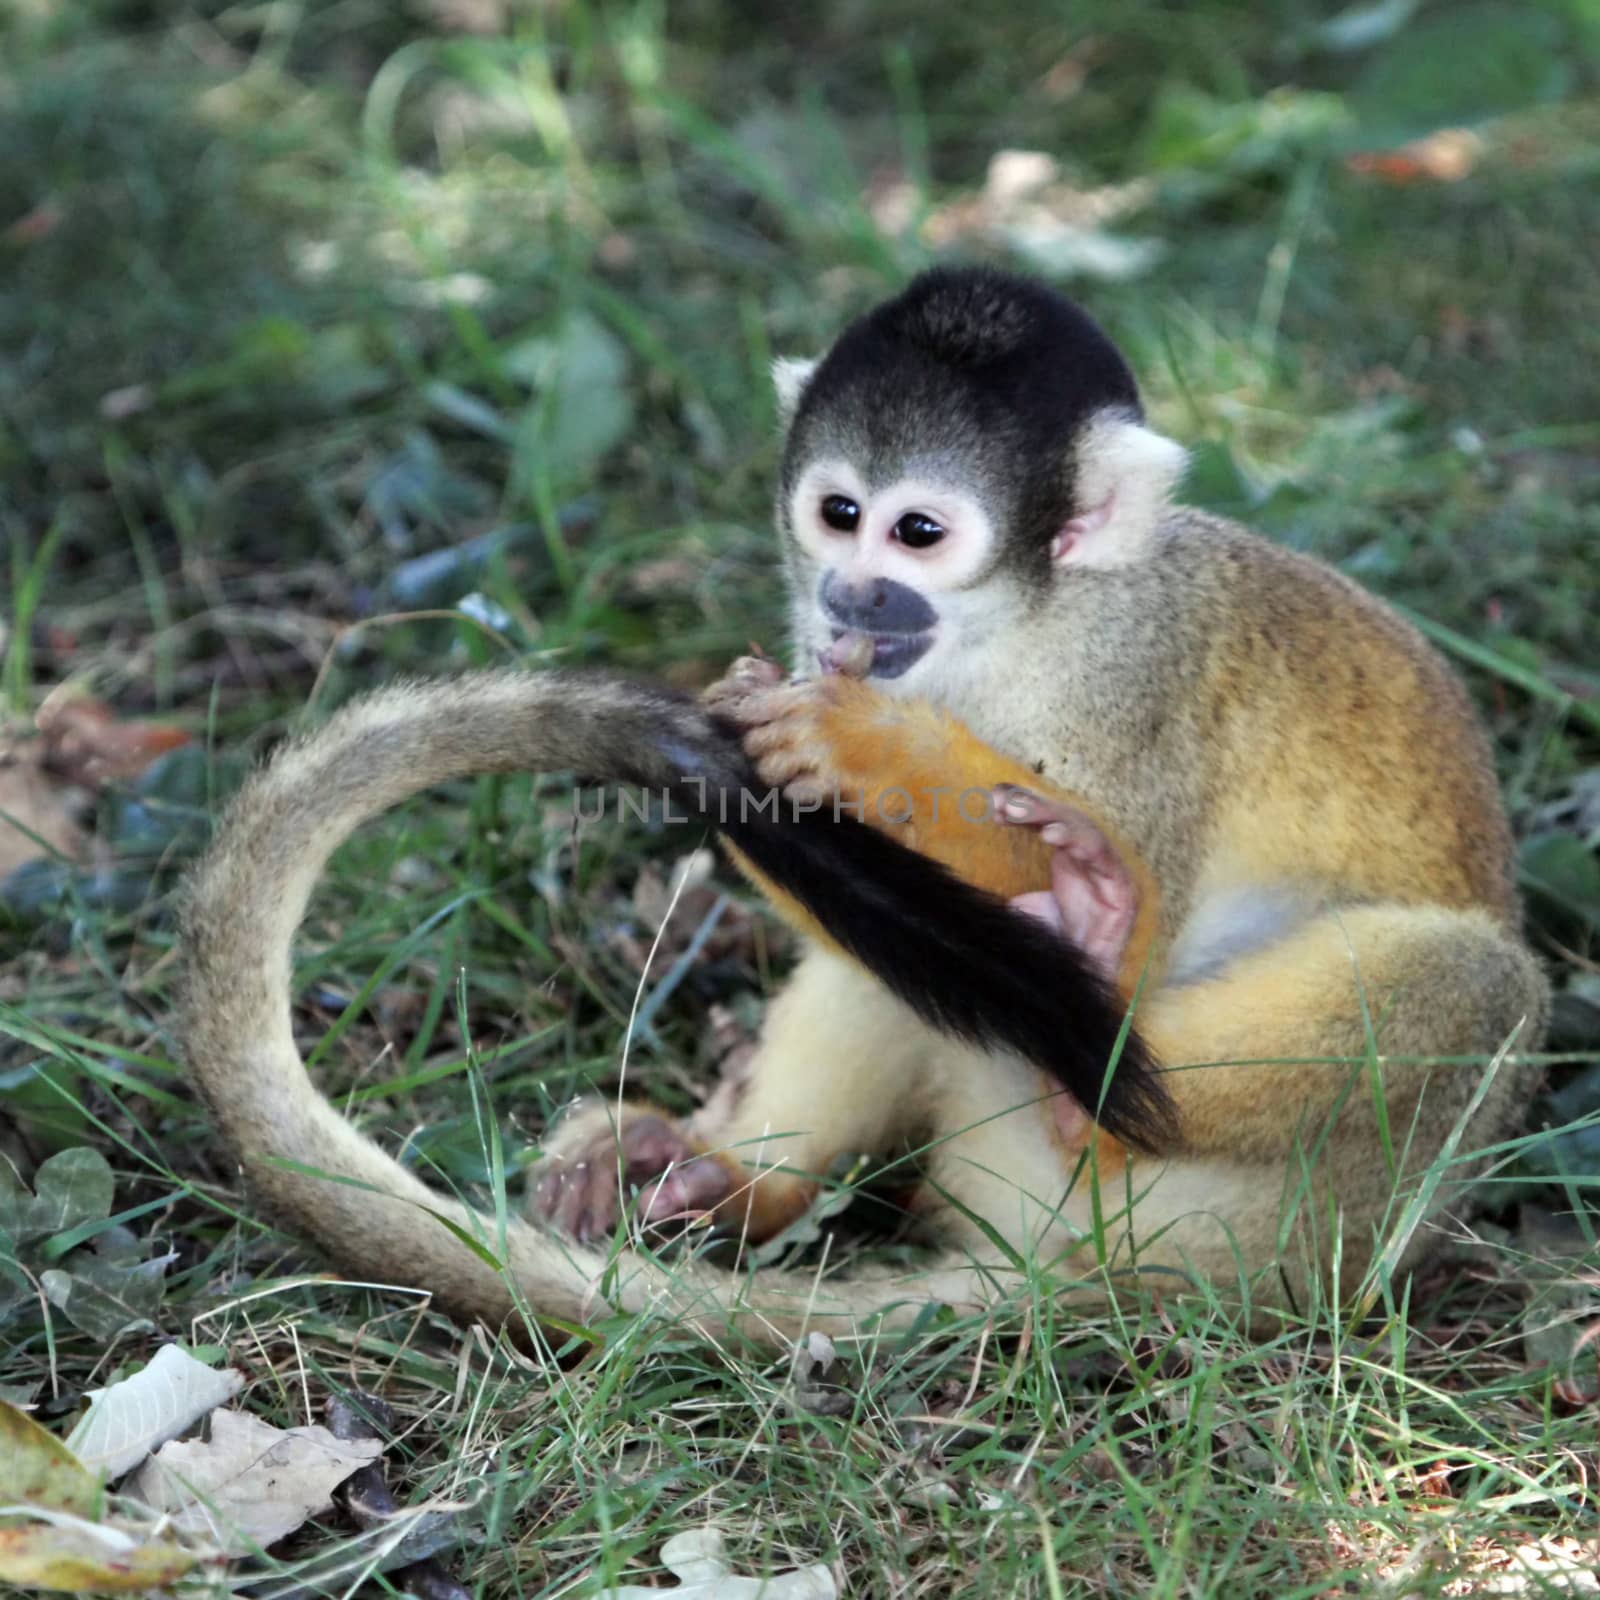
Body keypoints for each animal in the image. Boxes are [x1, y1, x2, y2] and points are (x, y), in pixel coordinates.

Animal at [181, 268, 1542, 1344]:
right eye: (838, 515)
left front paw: (868, 742)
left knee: (1469, 987)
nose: (850, 593)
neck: (1014, 630)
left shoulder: (1138, 674)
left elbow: (1155, 904)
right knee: (907, 965)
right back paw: (720, 1180)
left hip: (1332, 1191)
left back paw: (1093, 1006)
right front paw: (767, 734)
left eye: (917, 533)